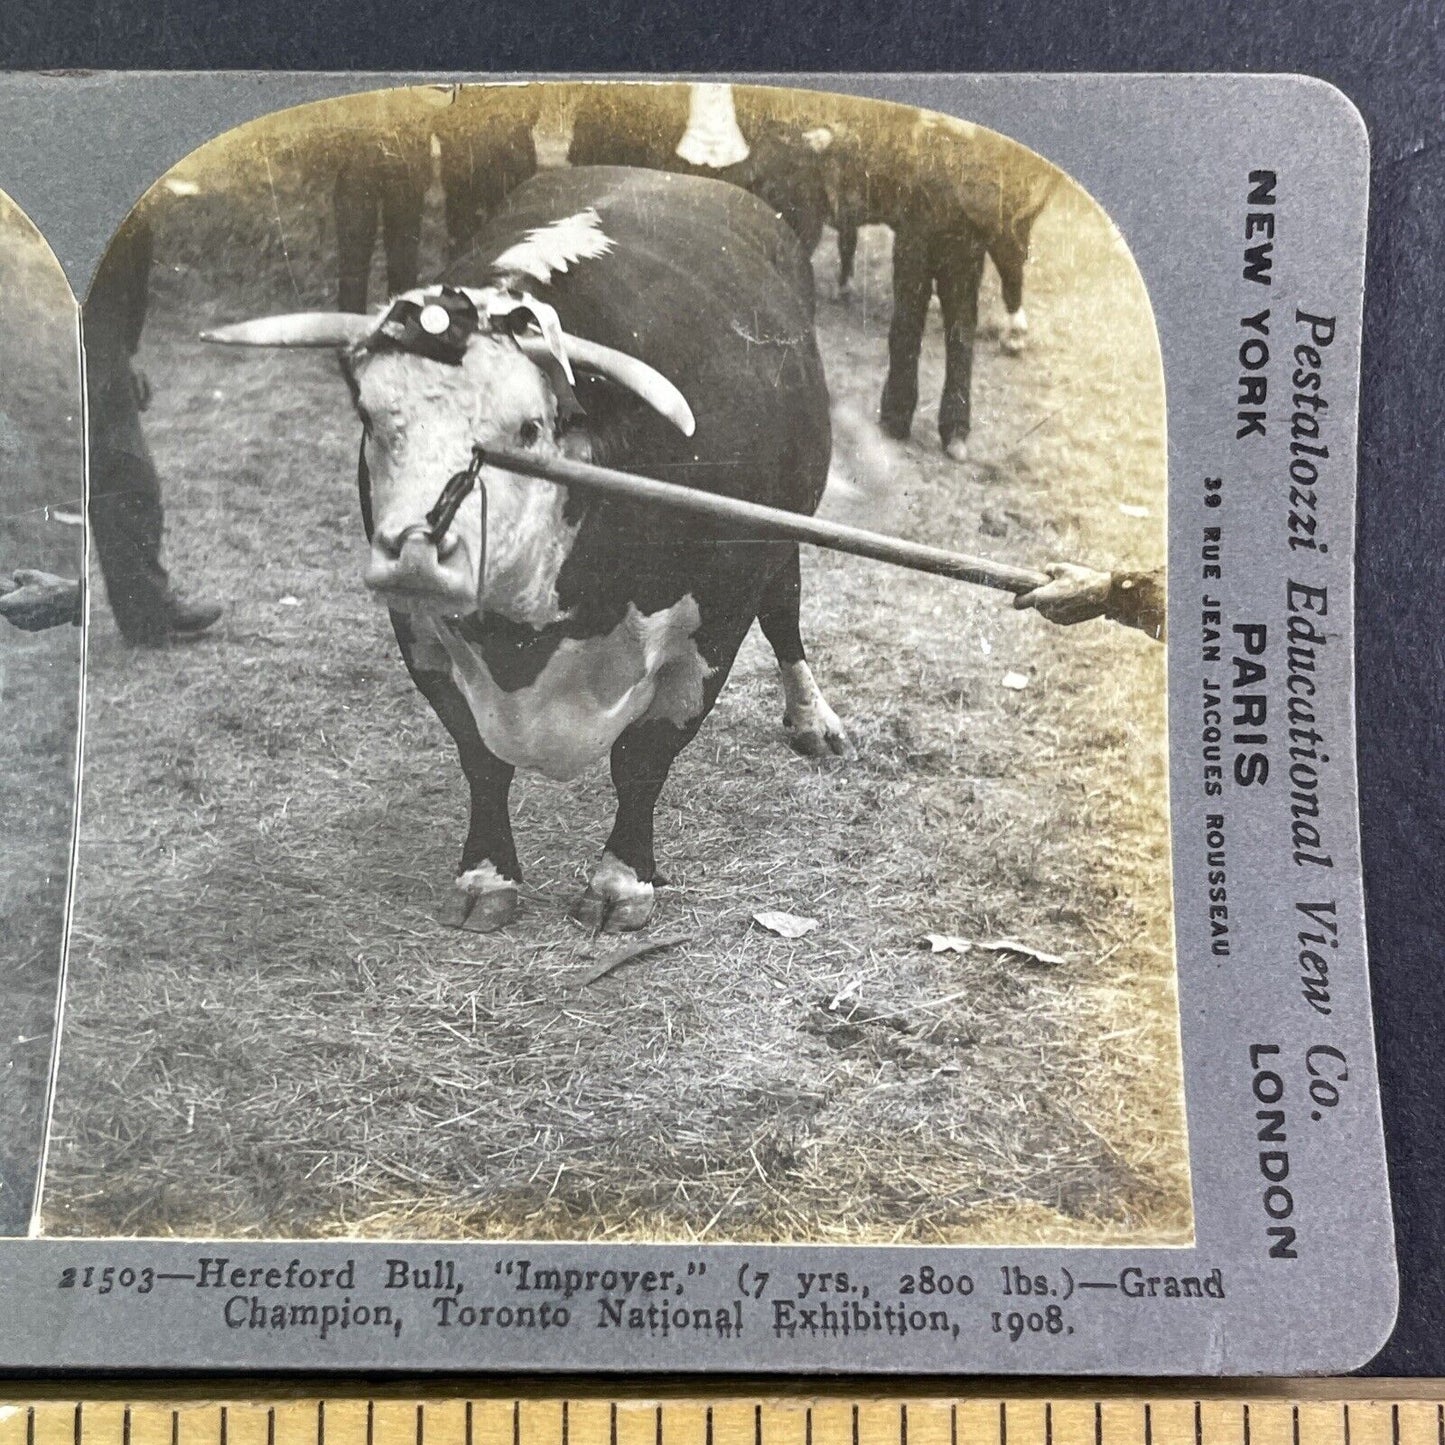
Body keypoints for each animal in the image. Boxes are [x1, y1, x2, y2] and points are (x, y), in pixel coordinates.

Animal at [209, 169, 849, 936]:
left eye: (528, 428)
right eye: (370, 416)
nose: (415, 553)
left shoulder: (717, 616)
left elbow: (644, 757)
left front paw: (621, 880)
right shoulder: (419, 629)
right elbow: (480, 757)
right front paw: (487, 874)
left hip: (783, 536)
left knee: (785, 611)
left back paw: (813, 719)